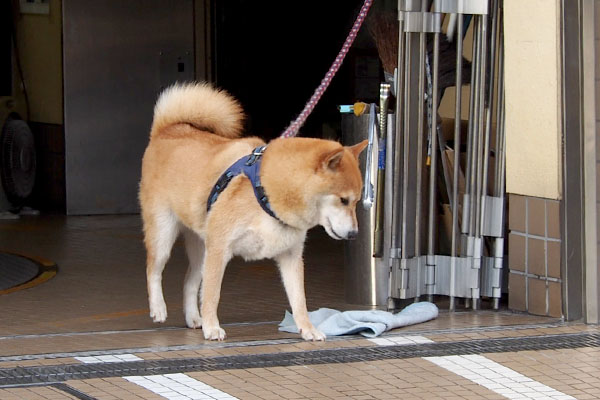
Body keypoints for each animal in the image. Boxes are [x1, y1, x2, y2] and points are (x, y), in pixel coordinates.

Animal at [139, 83, 368, 342]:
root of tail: (167, 130)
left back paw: (194, 318)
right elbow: (212, 295)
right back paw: (159, 308)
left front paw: (307, 329)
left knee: (189, 282)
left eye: (356, 201)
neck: (267, 191)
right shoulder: (220, 247)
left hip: (201, 248)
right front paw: (212, 327)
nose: (354, 234)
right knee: (154, 269)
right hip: (165, 235)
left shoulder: (291, 255)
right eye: (343, 200)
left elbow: (299, 300)